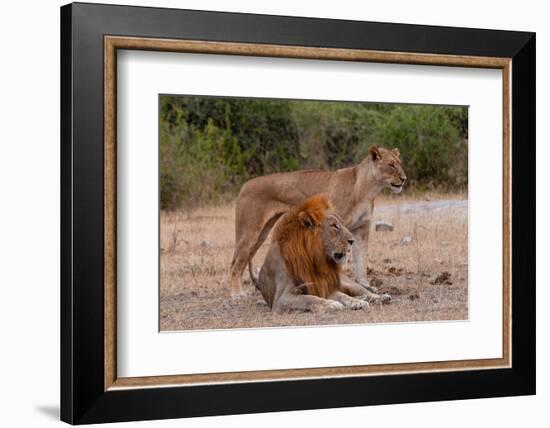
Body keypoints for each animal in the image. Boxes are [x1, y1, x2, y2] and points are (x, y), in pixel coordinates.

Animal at [231, 144, 408, 298]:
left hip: (262, 233)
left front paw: (365, 284)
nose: (404, 179)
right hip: (249, 232)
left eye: (399, 163)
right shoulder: (338, 226)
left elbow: (361, 259)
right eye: (391, 165)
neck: (368, 189)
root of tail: (245, 185)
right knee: (235, 263)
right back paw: (237, 294)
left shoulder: (362, 229)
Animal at [256, 196, 390, 312]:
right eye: (334, 226)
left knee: (362, 291)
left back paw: (378, 298)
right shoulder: (281, 299)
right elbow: (308, 298)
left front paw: (353, 302)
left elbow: (340, 296)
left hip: (347, 283)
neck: (313, 259)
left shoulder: (323, 286)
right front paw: (332, 304)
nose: (352, 241)